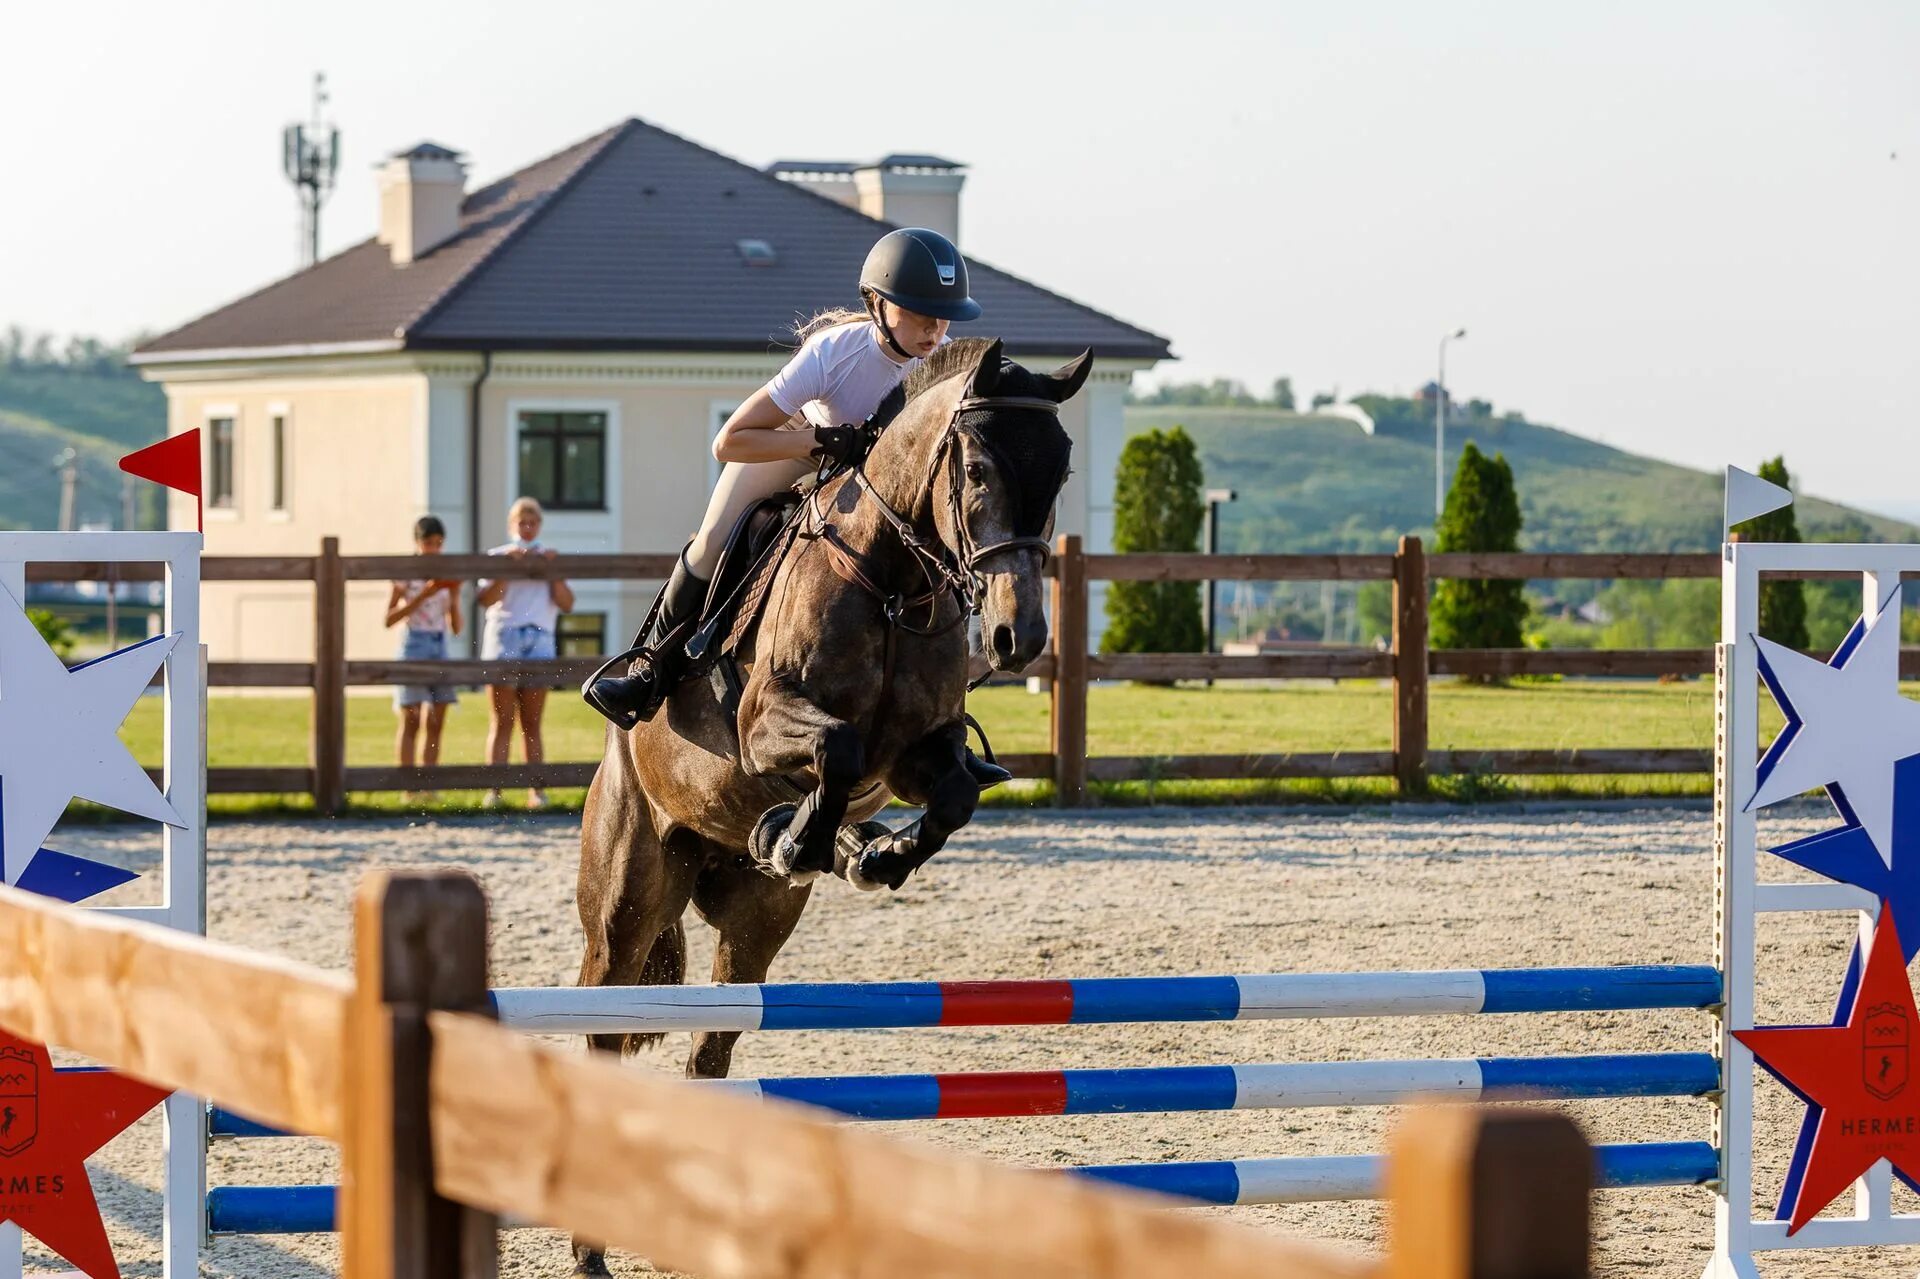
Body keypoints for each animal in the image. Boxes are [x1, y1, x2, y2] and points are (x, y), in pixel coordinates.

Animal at [560, 336, 1090, 1267]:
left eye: (1058, 471)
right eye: (978, 469)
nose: (1016, 637)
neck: (891, 580)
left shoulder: (917, 756)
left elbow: (952, 793)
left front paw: (872, 852)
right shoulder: (764, 725)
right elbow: (834, 747)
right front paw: (807, 836)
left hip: (754, 928)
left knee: (710, 1053)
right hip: (626, 903)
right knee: (602, 1031)